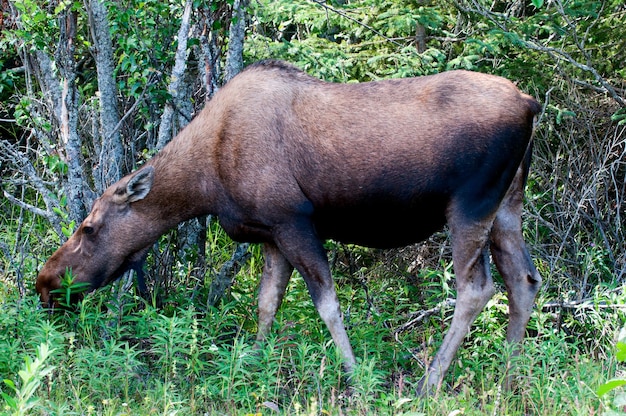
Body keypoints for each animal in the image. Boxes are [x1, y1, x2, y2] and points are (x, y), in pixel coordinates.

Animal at [35, 60, 540, 394]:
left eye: (89, 227)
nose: (45, 282)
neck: (206, 180)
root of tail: (531, 103)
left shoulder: (293, 220)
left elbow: (327, 305)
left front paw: (356, 379)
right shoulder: (270, 235)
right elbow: (266, 305)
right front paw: (251, 366)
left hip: (470, 204)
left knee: (477, 288)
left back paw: (429, 383)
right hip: (507, 206)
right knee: (525, 280)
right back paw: (509, 379)